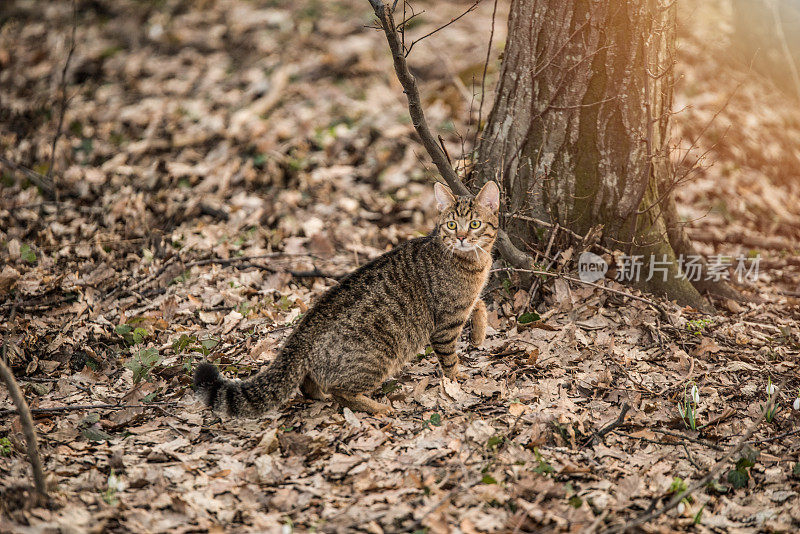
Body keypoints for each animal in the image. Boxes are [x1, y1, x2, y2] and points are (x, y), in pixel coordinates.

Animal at [194, 182, 496, 416]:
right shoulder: (446, 322)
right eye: (452, 224)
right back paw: (377, 408)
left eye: (475, 224)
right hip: (377, 358)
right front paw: (456, 381)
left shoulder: (465, 303)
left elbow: (479, 303)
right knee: (342, 392)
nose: (461, 237)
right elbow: (449, 359)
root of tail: (303, 332)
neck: (475, 262)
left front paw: (479, 333)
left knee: (308, 384)